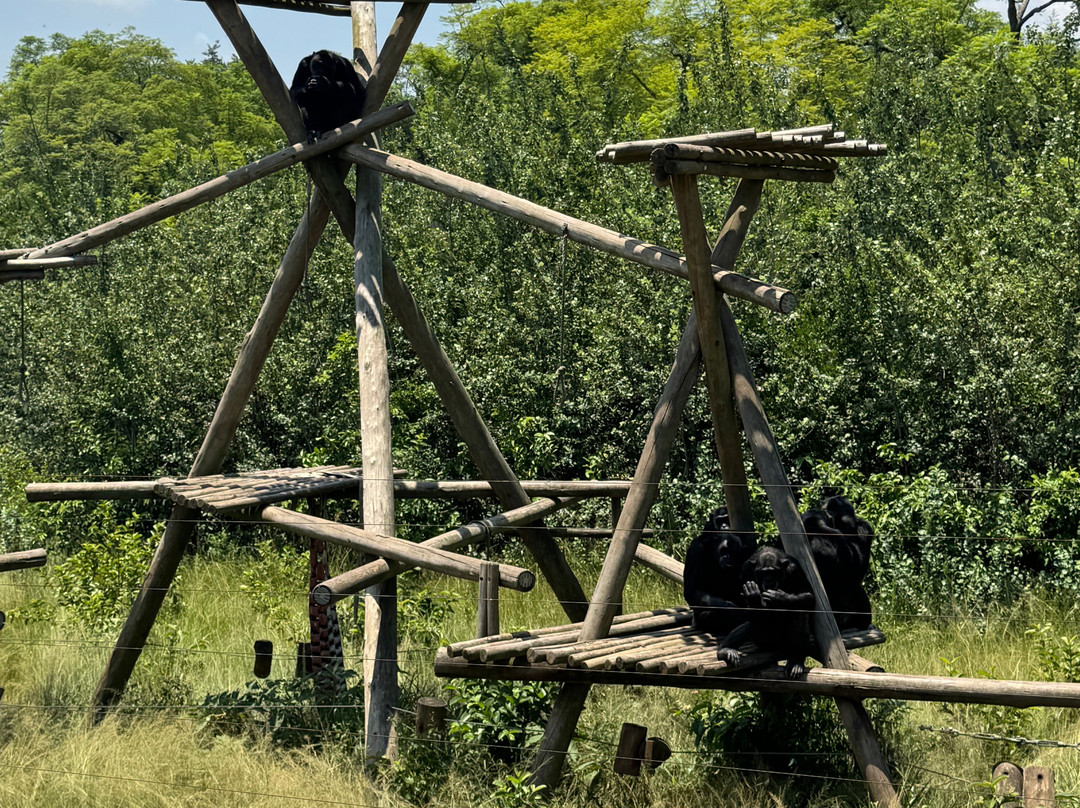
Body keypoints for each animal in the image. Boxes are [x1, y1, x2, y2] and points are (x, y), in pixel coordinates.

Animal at [716, 546, 814, 679]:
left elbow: (808, 595)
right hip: (763, 641)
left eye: (772, 572)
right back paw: (725, 650)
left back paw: (796, 661)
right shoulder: (745, 571)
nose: (769, 580)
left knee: (799, 613)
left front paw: (780, 597)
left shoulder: (796, 569)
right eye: (763, 573)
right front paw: (754, 597)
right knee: (751, 625)